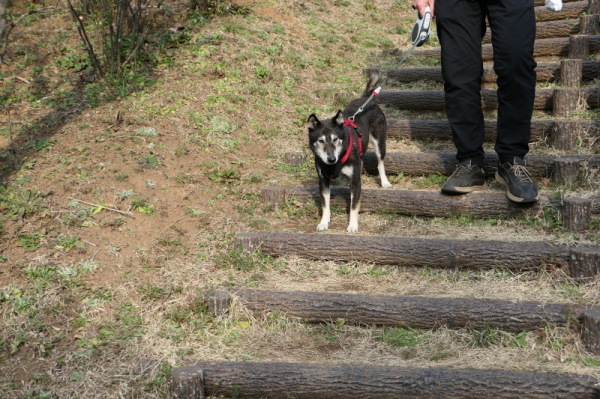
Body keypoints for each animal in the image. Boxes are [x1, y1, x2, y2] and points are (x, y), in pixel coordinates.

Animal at [308, 70, 392, 233]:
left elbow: (354, 206)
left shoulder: (356, 182)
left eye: (335, 139)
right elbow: (325, 205)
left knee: (380, 162)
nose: (331, 159)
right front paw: (324, 222)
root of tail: (367, 99)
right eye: (320, 141)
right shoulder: (323, 180)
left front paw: (352, 225)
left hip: (379, 142)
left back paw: (384, 181)